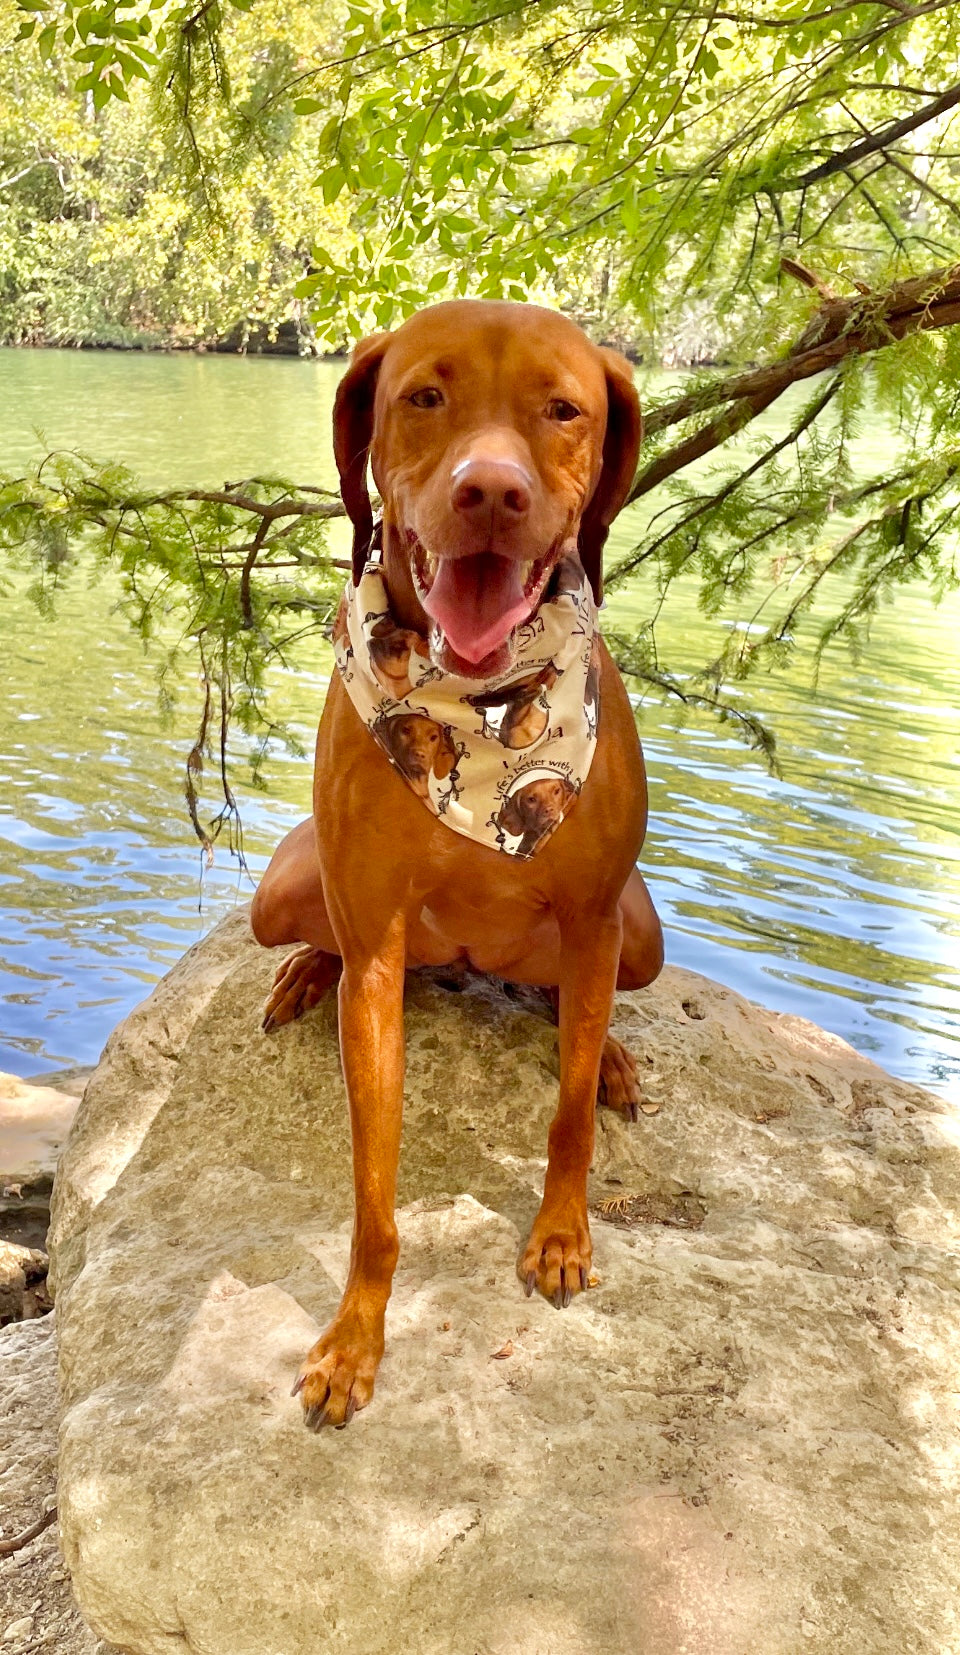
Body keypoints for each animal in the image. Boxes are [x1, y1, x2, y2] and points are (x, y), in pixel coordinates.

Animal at [251, 301, 665, 1436]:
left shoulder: (593, 910)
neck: (477, 716)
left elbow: (566, 1117)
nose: (491, 492)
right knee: (316, 932)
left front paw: (562, 1234)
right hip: (281, 892)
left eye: (563, 409)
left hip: (642, 931)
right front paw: (356, 1338)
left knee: (590, 1002)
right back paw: (304, 971)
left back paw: (612, 1053)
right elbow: (374, 1193)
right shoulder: (380, 956)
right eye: (423, 395)